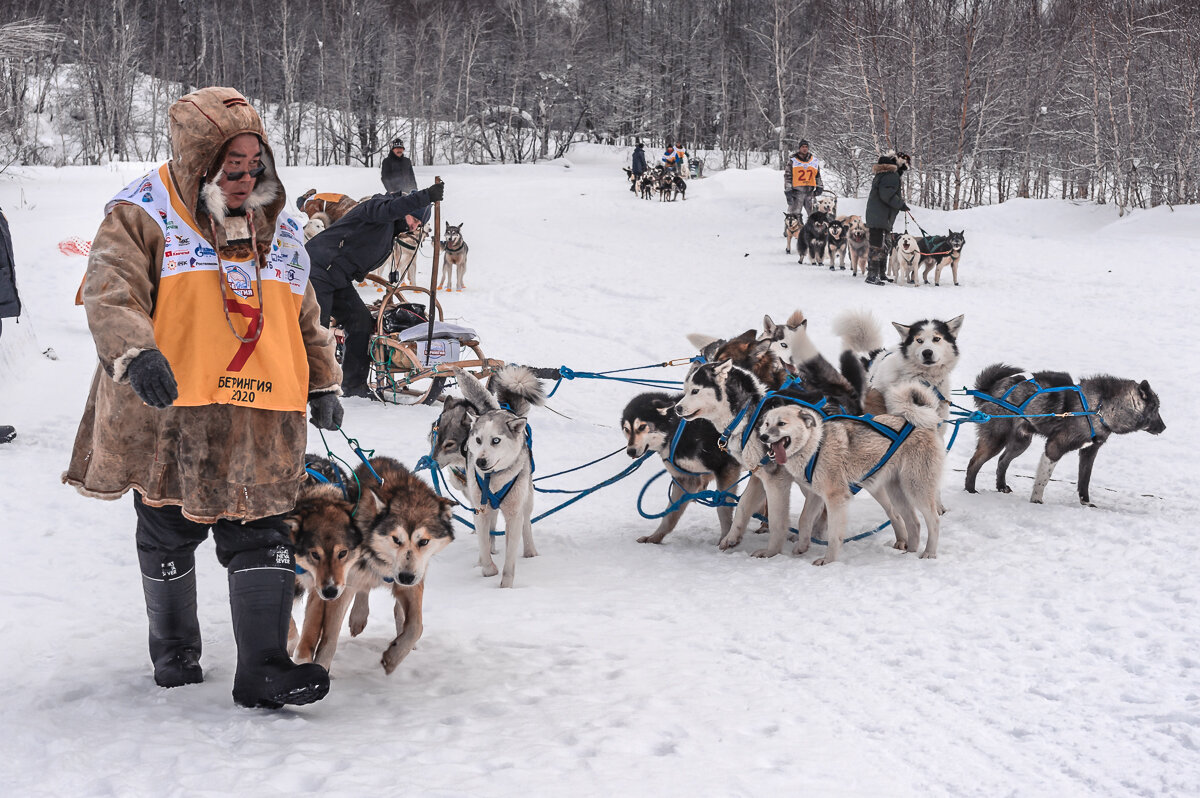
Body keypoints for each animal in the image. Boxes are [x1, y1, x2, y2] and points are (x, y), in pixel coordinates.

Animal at [304, 453, 453, 672]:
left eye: (424, 541)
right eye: (396, 539)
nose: (405, 577)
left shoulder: (413, 581)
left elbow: (416, 626)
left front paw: (394, 656)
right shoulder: (340, 585)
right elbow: (329, 638)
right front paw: (322, 665)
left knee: (399, 611)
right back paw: (358, 616)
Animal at [619, 391, 739, 544]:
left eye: (641, 427)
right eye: (626, 429)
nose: (630, 451)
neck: (677, 429)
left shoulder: (726, 468)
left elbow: (723, 508)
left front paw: (725, 538)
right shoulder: (686, 480)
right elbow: (670, 515)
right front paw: (654, 537)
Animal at [758, 381, 945, 559]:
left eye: (781, 423)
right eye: (767, 424)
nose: (763, 437)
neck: (815, 445)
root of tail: (922, 424)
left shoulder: (836, 498)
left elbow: (834, 535)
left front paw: (828, 560)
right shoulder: (816, 495)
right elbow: (804, 520)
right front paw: (801, 548)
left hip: (916, 489)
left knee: (934, 521)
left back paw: (929, 553)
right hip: (897, 493)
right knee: (914, 522)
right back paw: (910, 553)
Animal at [964, 364, 1161, 506]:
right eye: (1156, 409)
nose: (1164, 427)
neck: (1099, 408)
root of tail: (992, 389)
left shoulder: (1089, 452)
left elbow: (1084, 480)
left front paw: (1086, 503)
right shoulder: (1054, 448)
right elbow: (1043, 479)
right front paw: (1036, 500)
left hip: (1021, 443)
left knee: (1002, 461)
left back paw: (1001, 487)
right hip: (996, 440)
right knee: (974, 463)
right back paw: (970, 492)